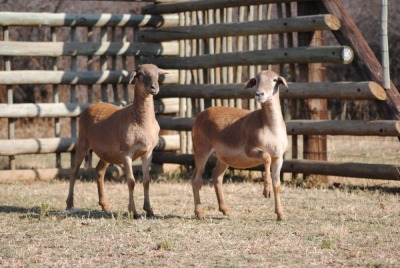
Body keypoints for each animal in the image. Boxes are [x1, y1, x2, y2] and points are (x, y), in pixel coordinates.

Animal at [66, 63, 166, 219]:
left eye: (157, 74)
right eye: (141, 74)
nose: (154, 87)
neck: (140, 121)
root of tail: (92, 105)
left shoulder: (148, 152)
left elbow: (146, 181)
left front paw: (149, 210)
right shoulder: (126, 152)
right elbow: (131, 181)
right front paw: (133, 212)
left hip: (107, 153)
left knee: (99, 171)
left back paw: (105, 205)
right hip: (82, 142)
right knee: (74, 171)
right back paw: (70, 204)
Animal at [191, 69, 288, 220]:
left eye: (274, 80)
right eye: (256, 80)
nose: (259, 94)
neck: (269, 128)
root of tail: (200, 115)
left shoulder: (278, 157)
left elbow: (277, 185)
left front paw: (281, 214)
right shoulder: (250, 149)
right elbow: (266, 157)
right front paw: (266, 191)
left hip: (222, 157)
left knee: (217, 177)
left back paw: (225, 210)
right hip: (201, 149)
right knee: (196, 179)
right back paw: (200, 212)